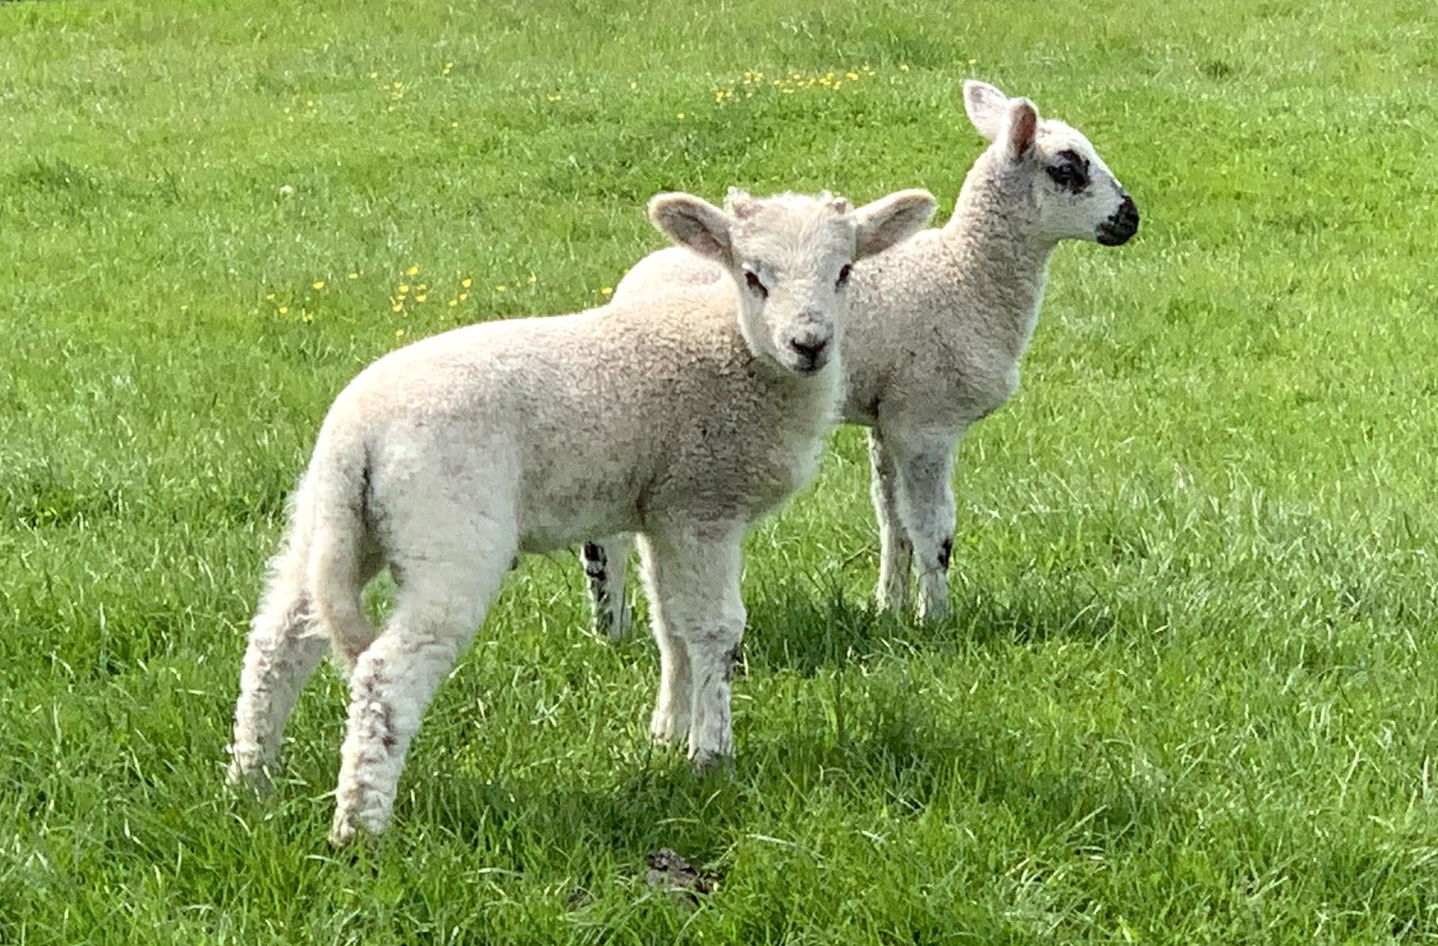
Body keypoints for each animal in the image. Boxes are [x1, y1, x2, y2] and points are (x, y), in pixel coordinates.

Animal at [225, 187, 938, 844]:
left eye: (844, 271)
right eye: (752, 275)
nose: (809, 344)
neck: (735, 353)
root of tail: (356, 434)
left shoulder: (662, 508)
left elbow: (670, 625)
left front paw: (666, 736)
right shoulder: (704, 502)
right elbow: (715, 630)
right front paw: (712, 755)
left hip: (330, 522)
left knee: (277, 643)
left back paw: (250, 785)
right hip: (449, 530)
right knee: (383, 673)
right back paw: (360, 830)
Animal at [581, 80, 1139, 635]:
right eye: (1067, 169)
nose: (1131, 219)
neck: (965, 275)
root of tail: (626, 291)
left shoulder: (889, 418)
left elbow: (893, 520)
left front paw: (889, 607)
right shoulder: (926, 419)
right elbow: (933, 527)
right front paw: (936, 618)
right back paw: (615, 627)